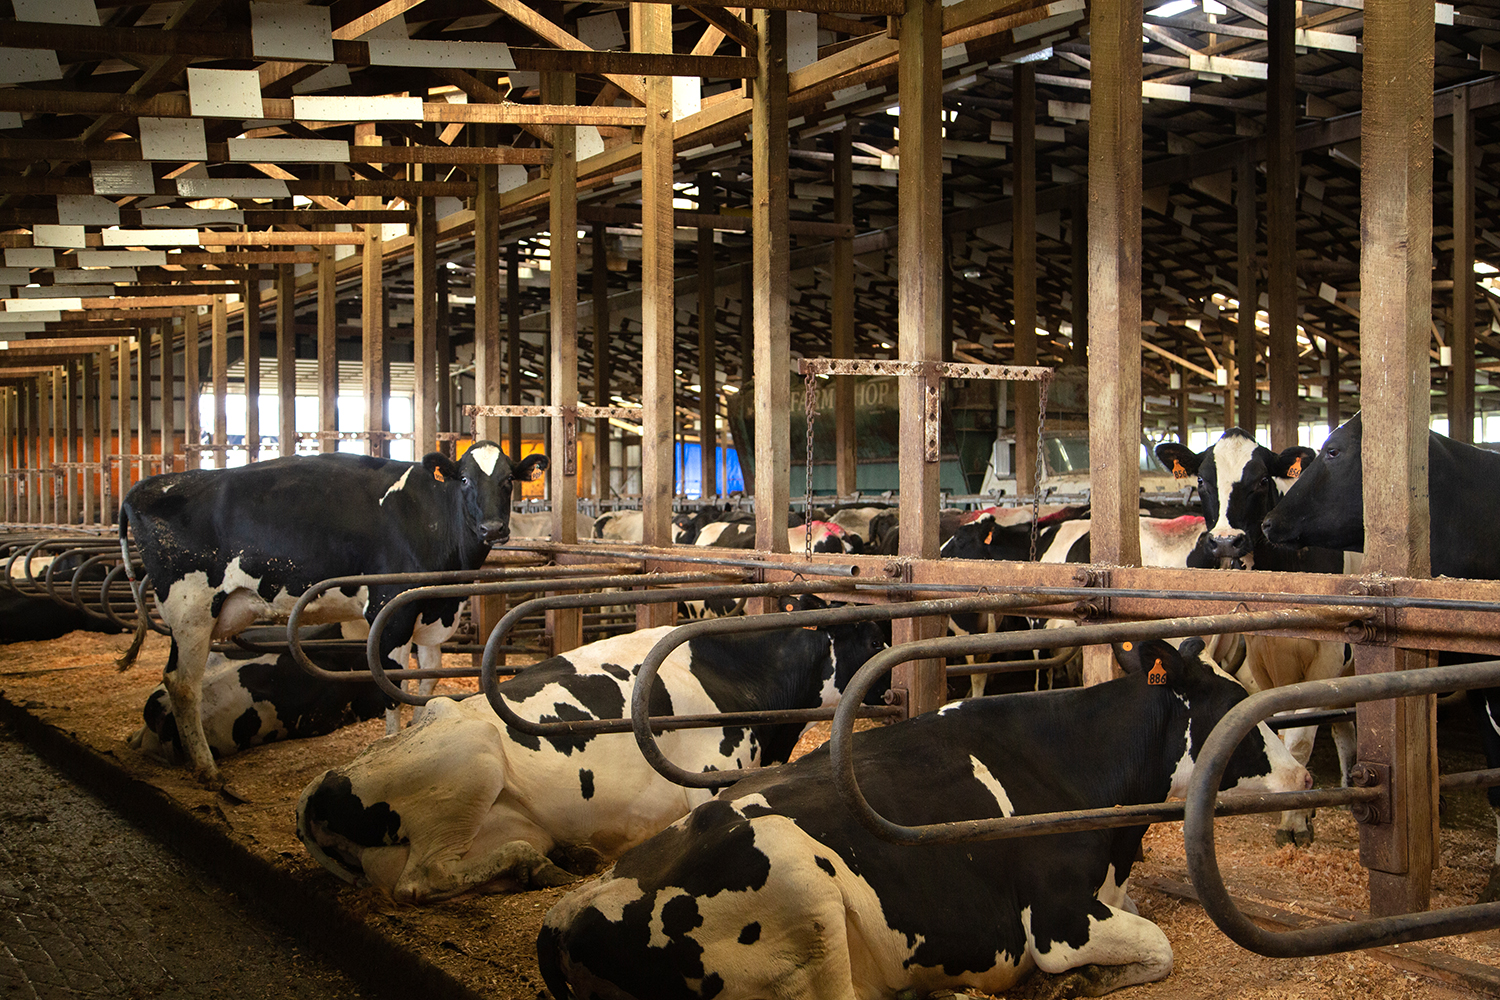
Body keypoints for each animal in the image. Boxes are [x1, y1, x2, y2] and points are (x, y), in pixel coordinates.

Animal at [117, 440, 549, 785]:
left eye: (509, 480)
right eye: (464, 480)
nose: (493, 529)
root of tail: (148, 486)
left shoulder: (431, 613)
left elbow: (427, 681)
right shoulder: (389, 613)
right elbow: (393, 687)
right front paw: (392, 746)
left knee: (175, 679)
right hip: (190, 610)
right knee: (183, 685)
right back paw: (206, 768)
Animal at [295, 599, 888, 905]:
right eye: (872, 637)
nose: (890, 682)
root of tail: (322, 782)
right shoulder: (712, 777)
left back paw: (557, 859)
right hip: (471, 762)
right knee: (422, 879)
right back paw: (543, 867)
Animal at [543, 641, 1314, 1000]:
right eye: (1235, 712)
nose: (1307, 779)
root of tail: (568, 914)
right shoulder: (1057, 922)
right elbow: (1160, 946)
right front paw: (1086, 981)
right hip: (804, 894)